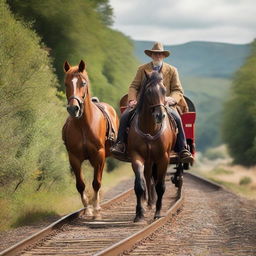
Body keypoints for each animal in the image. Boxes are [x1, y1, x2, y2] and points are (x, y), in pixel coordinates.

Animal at [62, 60, 119, 218]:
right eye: (66, 84)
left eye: (83, 83)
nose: (73, 109)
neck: (83, 125)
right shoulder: (74, 158)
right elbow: (80, 185)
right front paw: (88, 209)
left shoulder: (99, 155)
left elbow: (96, 183)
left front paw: (96, 210)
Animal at [127, 70, 176, 222]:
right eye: (148, 92)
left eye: (164, 90)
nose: (160, 115)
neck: (150, 128)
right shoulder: (136, 157)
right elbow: (139, 185)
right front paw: (139, 213)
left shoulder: (163, 158)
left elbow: (161, 186)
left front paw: (158, 213)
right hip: (148, 160)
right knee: (148, 178)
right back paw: (149, 203)